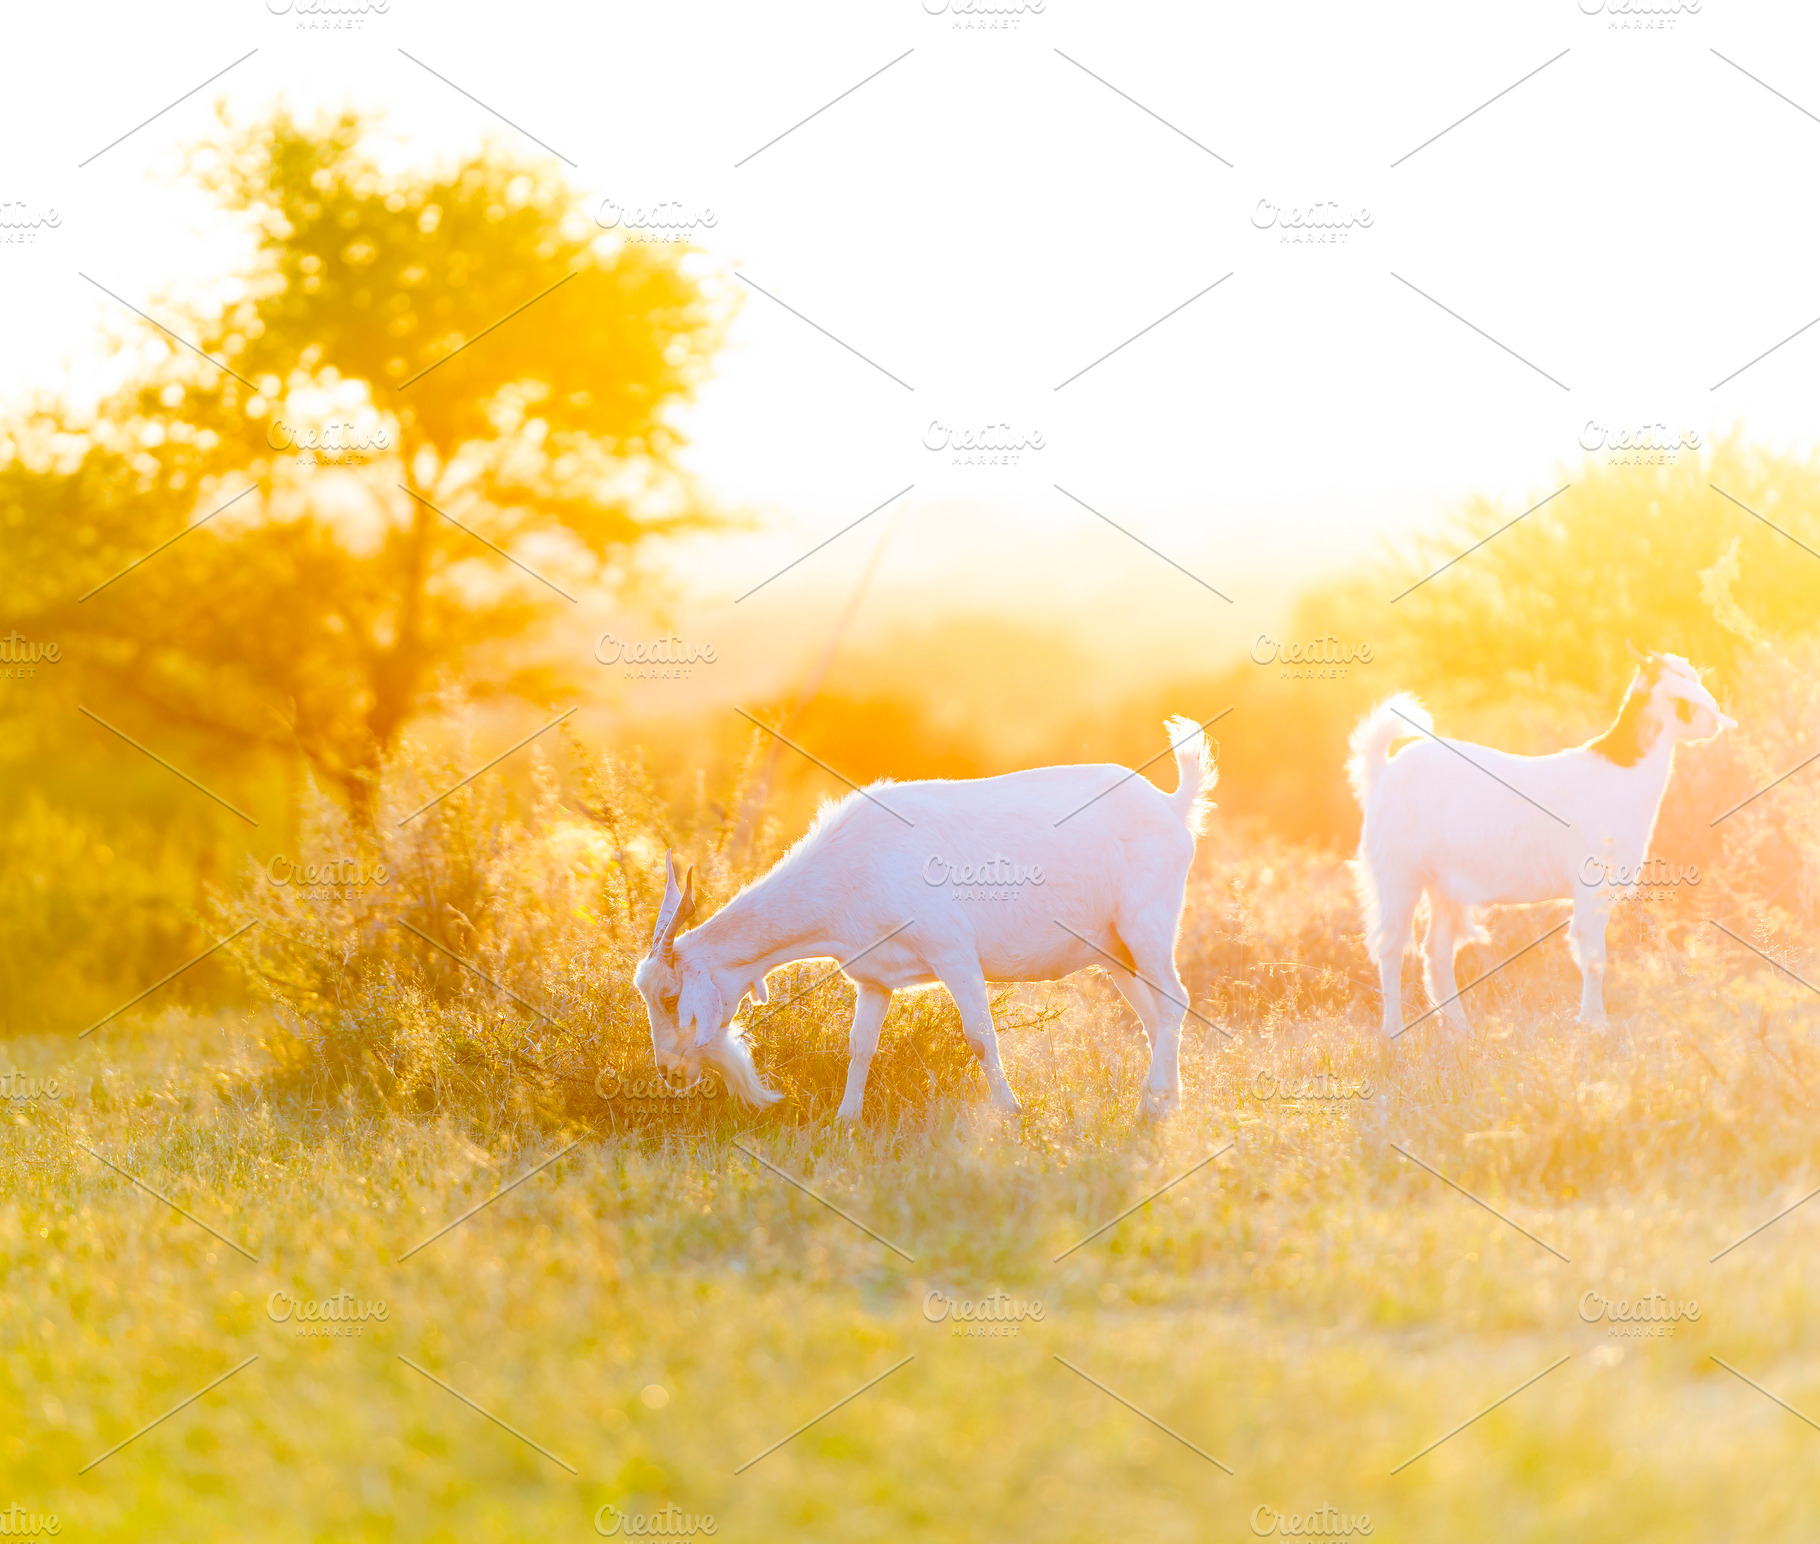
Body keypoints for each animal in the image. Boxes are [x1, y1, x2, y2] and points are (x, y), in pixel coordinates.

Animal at [631, 717, 1218, 1120]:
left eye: (670, 998)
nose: (667, 1070)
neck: (852, 865)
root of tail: (1172, 805)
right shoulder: (874, 980)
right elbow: (859, 1047)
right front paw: (845, 1120)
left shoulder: (953, 952)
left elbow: (980, 1035)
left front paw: (1010, 1111)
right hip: (1113, 951)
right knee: (1153, 1015)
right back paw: (1168, 1102)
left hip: (1146, 925)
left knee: (1175, 999)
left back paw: (1152, 1103)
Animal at [1348, 644, 1735, 1036]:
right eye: (1681, 695)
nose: (1712, 723)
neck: (1621, 772)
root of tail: (1383, 772)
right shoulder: (1592, 886)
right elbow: (1594, 958)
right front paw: (1596, 1024)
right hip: (1398, 873)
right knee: (1391, 947)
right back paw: (1395, 1032)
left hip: (1444, 885)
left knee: (1437, 952)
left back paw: (1460, 1030)